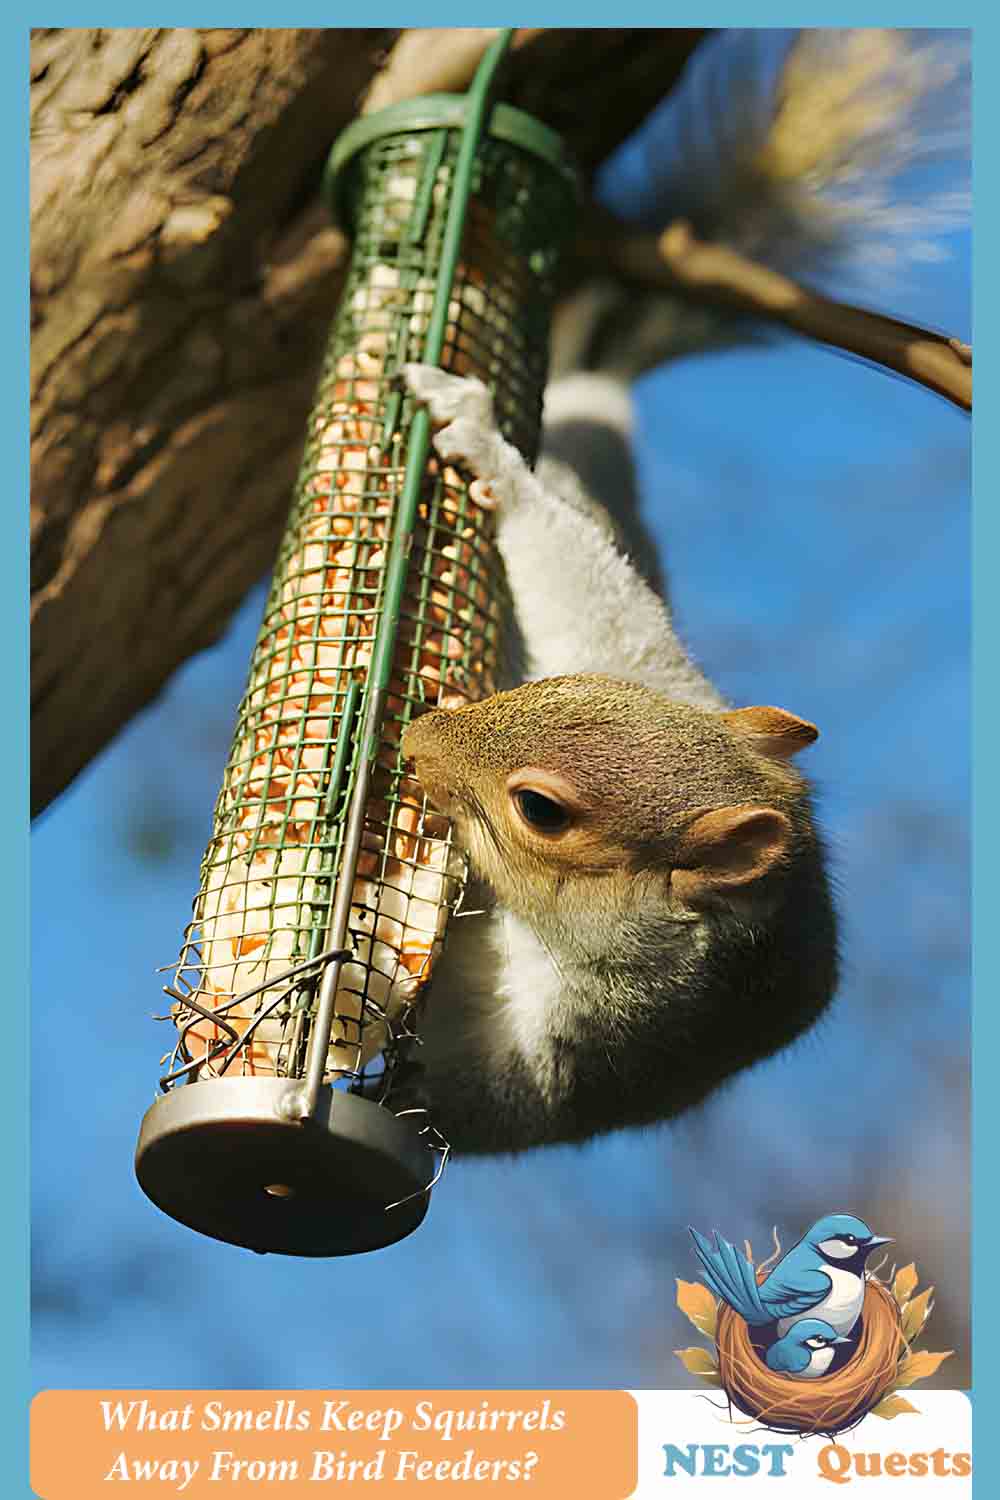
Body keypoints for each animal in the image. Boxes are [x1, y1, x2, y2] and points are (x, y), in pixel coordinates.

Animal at [396, 28, 969, 1155]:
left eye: (539, 810)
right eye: (560, 691)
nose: (412, 741)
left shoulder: (602, 1038)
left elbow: (475, 1085)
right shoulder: (647, 663)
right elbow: (583, 582)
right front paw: (484, 447)